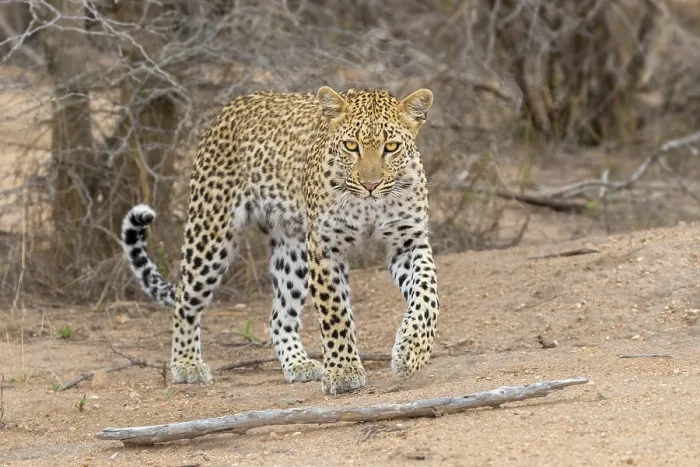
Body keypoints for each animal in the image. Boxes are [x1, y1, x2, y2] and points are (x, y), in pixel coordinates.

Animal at [120, 86, 440, 395]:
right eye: (351, 146)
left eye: (391, 147)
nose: (370, 185)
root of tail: (232, 106)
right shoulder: (325, 246)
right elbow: (335, 312)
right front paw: (343, 371)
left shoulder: (407, 242)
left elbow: (428, 294)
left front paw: (413, 351)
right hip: (211, 234)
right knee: (184, 300)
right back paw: (186, 363)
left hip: (293, 251)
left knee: (278, 317)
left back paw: (298, 364)